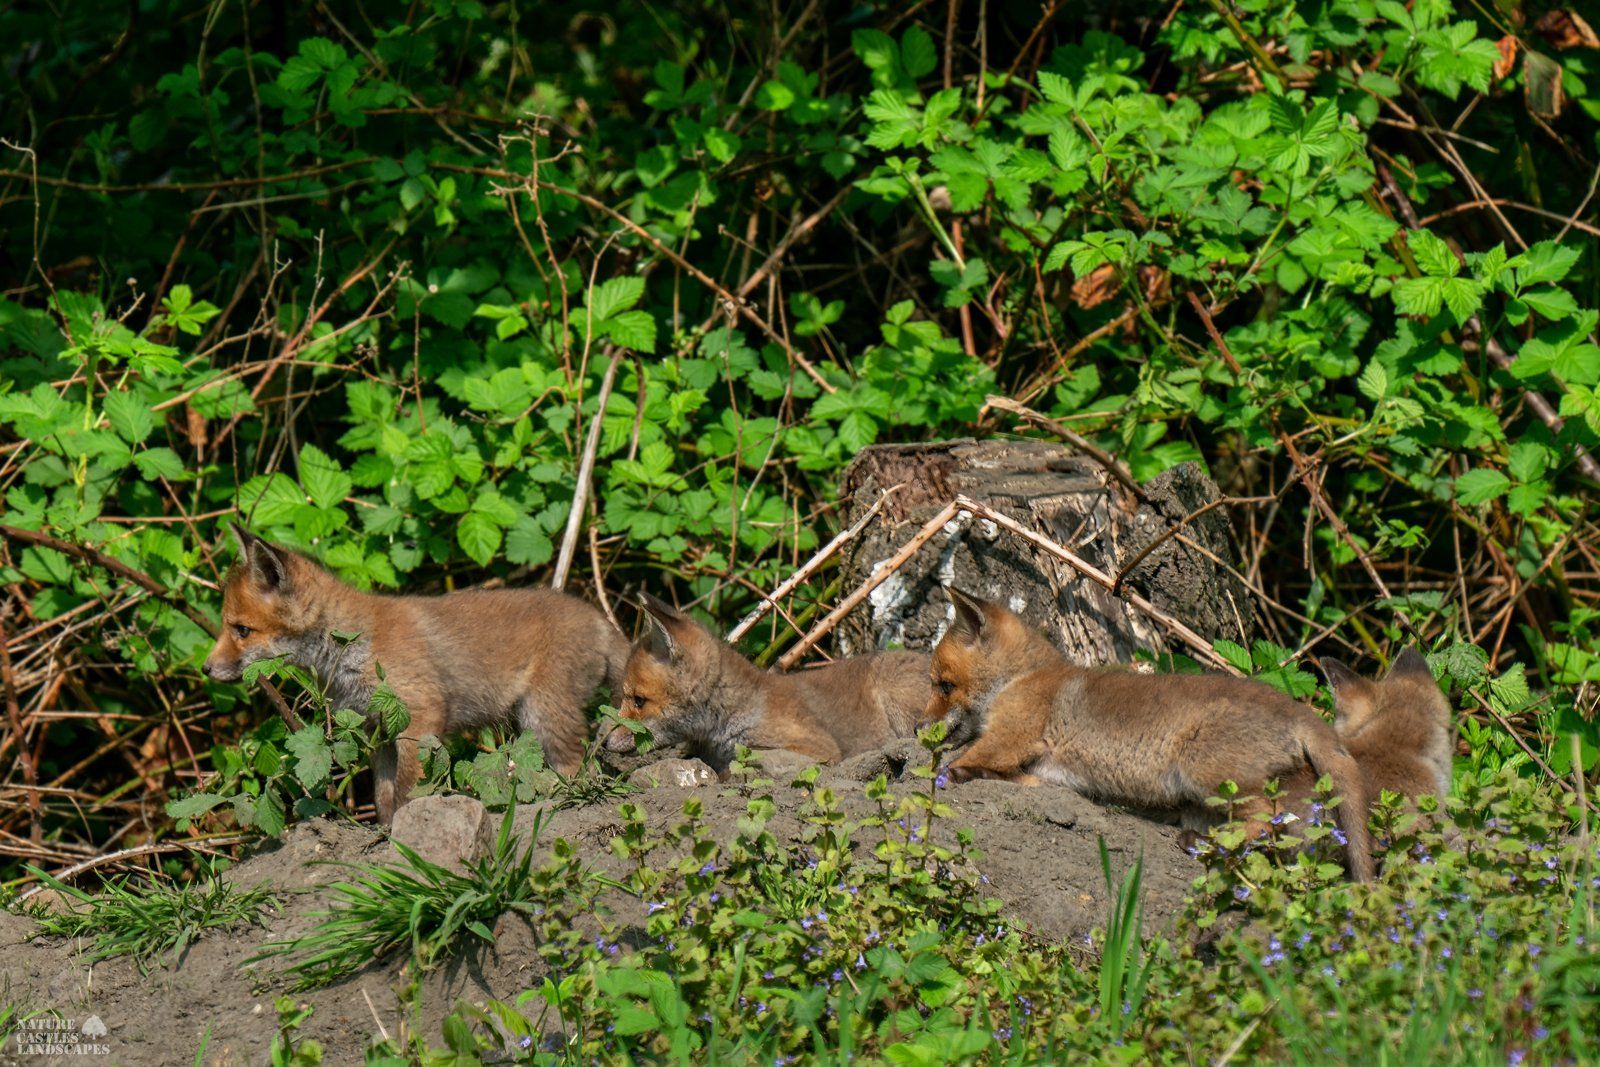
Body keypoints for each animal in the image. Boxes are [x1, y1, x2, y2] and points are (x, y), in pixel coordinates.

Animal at [202, 523, 629, 823]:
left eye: (241, 630)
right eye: (228, 627)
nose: (205, 669)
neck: (354, 645)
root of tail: (599, 618)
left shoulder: (420, 716)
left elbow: (409, 788)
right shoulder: (376, 729)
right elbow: (383, 796)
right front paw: (388, 834)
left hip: (544, 717)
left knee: (581, 769)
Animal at [930, 588, 1374, 882]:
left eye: (944, 685)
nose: (921, 729)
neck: (1021, 678)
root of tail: (1298, 709)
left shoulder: (1014, 736)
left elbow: (970, 759)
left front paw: (956, 772)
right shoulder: (1042, 769)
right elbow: (1019, 777)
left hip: (1204, 770)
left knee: (1267, 820)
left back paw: (1208, 845)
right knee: (1286, 829)